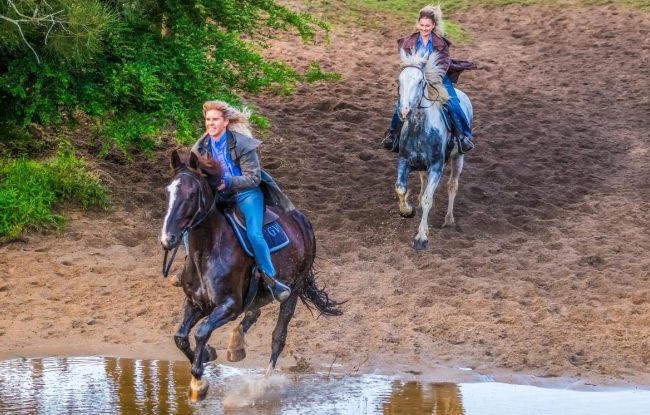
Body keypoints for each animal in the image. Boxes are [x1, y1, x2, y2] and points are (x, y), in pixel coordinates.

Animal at [159, 149, 341, 401]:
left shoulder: (229, 306)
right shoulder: (195, 302)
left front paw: (198, 383)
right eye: (168, 192)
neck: (206, 253)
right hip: (260, 294)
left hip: (293, 290)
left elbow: (202, 331)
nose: (168, 239)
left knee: (278, 337)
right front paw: (207, 354)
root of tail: (301, 219)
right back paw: (236, 345)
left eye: (192, 194)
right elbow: (180, 337)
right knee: (255, 312)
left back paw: (263, 384)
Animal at [395, 48, 473, 250]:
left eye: (420, 82)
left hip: (459, 158)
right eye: (399, 81)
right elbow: (401, 188)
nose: (404, 111)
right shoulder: (404, 161)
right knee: (423, 181)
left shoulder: (437, 167)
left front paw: (421, 237)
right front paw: (408, 210)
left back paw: (449, 220)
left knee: (452, 186)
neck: (419, 129)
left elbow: (428, 199)